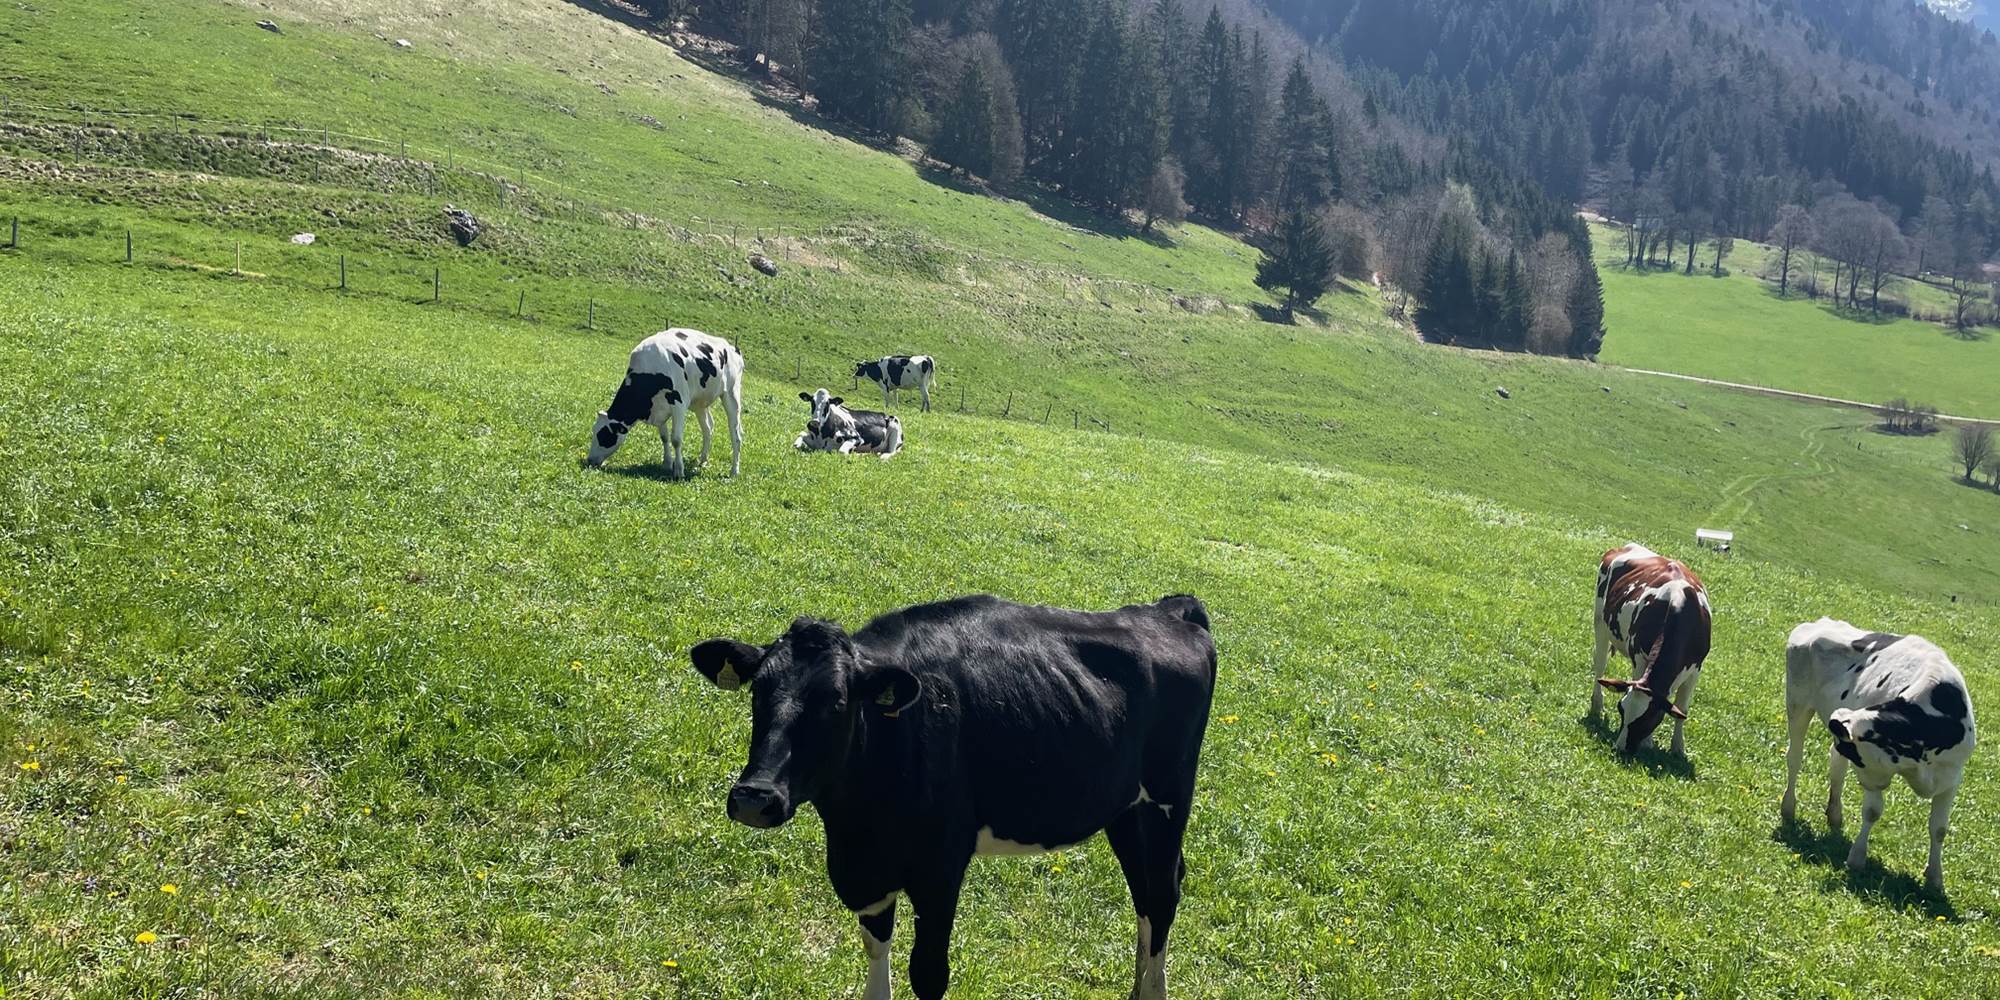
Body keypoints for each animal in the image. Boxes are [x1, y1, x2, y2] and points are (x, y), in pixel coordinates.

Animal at [586, 329, 743, 479]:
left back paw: (734, 471)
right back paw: (702, 460)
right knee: (708, 428)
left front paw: (678, 471)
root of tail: (732, 348)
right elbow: (664, 437)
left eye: (603, 435)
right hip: (699, 402)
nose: (589, 460)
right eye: (593, 432)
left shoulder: (679, 403)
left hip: (731, 394)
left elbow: (676, 439)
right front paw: (667, 463)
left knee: (735, 434)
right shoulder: (658, 407)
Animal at [689, 594, 1217, 1000]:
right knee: (1144, 896)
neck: (856, 823)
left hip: (1168, 801)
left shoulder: (940, 868)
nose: (755, 797)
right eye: (758, 691)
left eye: (837, 701)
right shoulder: (867, 873)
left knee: (1162, 894)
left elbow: (928, 974)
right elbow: (877, 951)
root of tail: (1168, 609)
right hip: (1127, 811)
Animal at [1590, 543, 1712, 756]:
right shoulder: (1639, 657)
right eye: (1621, 708)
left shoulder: (1696, 669)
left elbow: (1682, 709)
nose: (1621, 749)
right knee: (1600, 666)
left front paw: (1678, 748)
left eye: (1648, 718)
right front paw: (1648, 742)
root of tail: (1626, 546)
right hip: (1600, 623)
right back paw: (1597, 705)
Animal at [1781, 618, 1976, 892]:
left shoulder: (1951, 778)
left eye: (1855, 753)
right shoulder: (1874, 775)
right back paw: (1788, 808)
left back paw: (1835, 815)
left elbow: (1939, 829)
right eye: (1860, 758)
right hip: (1797, 704)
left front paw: (1935, 879)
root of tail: (1819, 622)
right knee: (1795, 758)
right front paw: (1857, 858)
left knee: (1835, 765)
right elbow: (1872, 812)